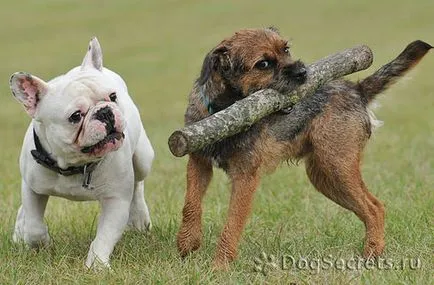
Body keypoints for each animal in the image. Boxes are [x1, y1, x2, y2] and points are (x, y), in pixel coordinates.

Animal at [8, 36, 155, 268]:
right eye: (75, 116)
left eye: (113, 96)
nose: (104, 112)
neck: (74, 165)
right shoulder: (32, 189)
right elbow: (34, 225)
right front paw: (41, 243)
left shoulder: (115, 201)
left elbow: (104, 237)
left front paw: (97, 265)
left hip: (143, 159)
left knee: (138, 184)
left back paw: (139, 217)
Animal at [175, 27, 430, 268]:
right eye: (263, 64)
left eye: (286, 49)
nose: (303, 72)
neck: (224, 112)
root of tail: (356, 89)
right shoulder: (198, 163)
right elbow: (191, 205)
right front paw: (187, 245)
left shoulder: (245, 178)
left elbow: (232, 223)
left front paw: (219, 266)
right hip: (324, 177)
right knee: (369, 208)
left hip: (336, 167)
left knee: (375, 207)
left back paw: (371, 254)